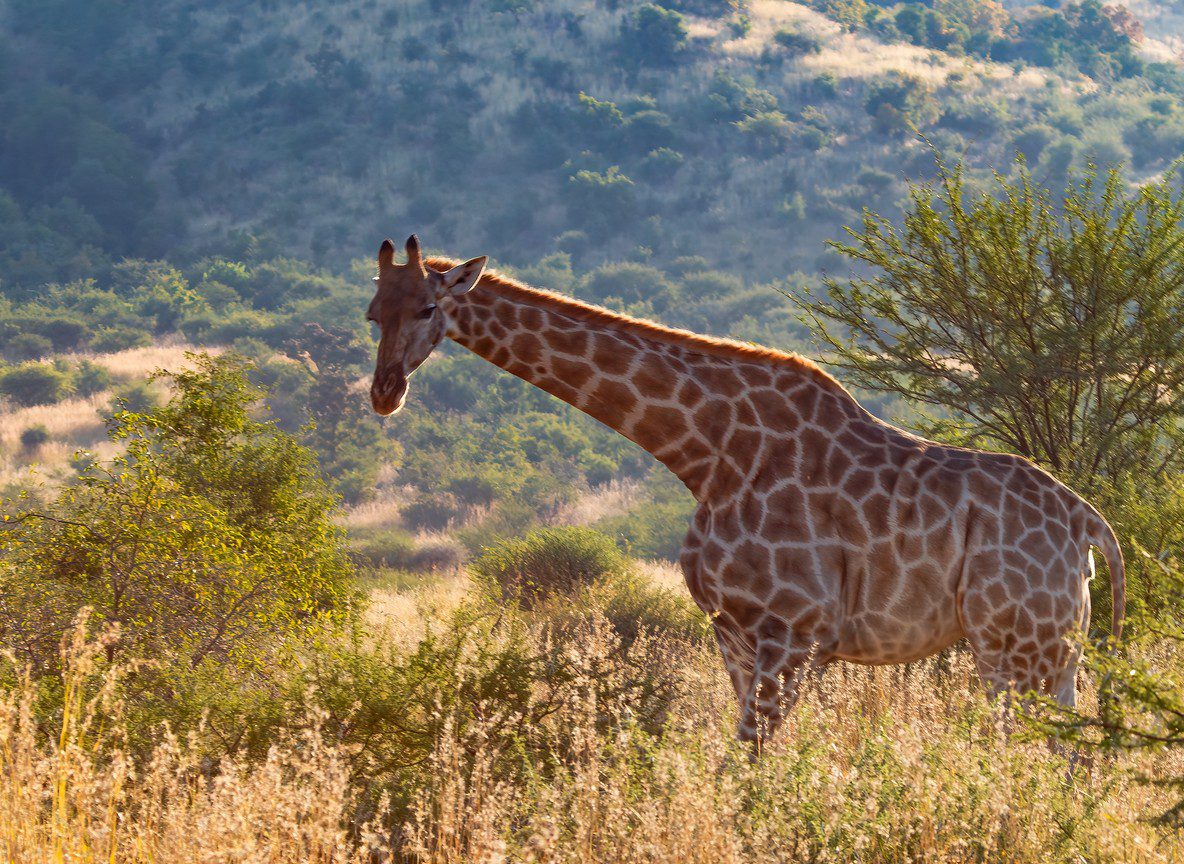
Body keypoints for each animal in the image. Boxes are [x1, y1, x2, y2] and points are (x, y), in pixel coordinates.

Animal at [367, 235, 1126, 748]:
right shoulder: (731, 629)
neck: (707, 453)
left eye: (430, 307)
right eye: (373, 313)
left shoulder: (792, 629)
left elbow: (756, 757)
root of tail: (1088, 523)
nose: (384, 393)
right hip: (1053, 646)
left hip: (1014, 643)